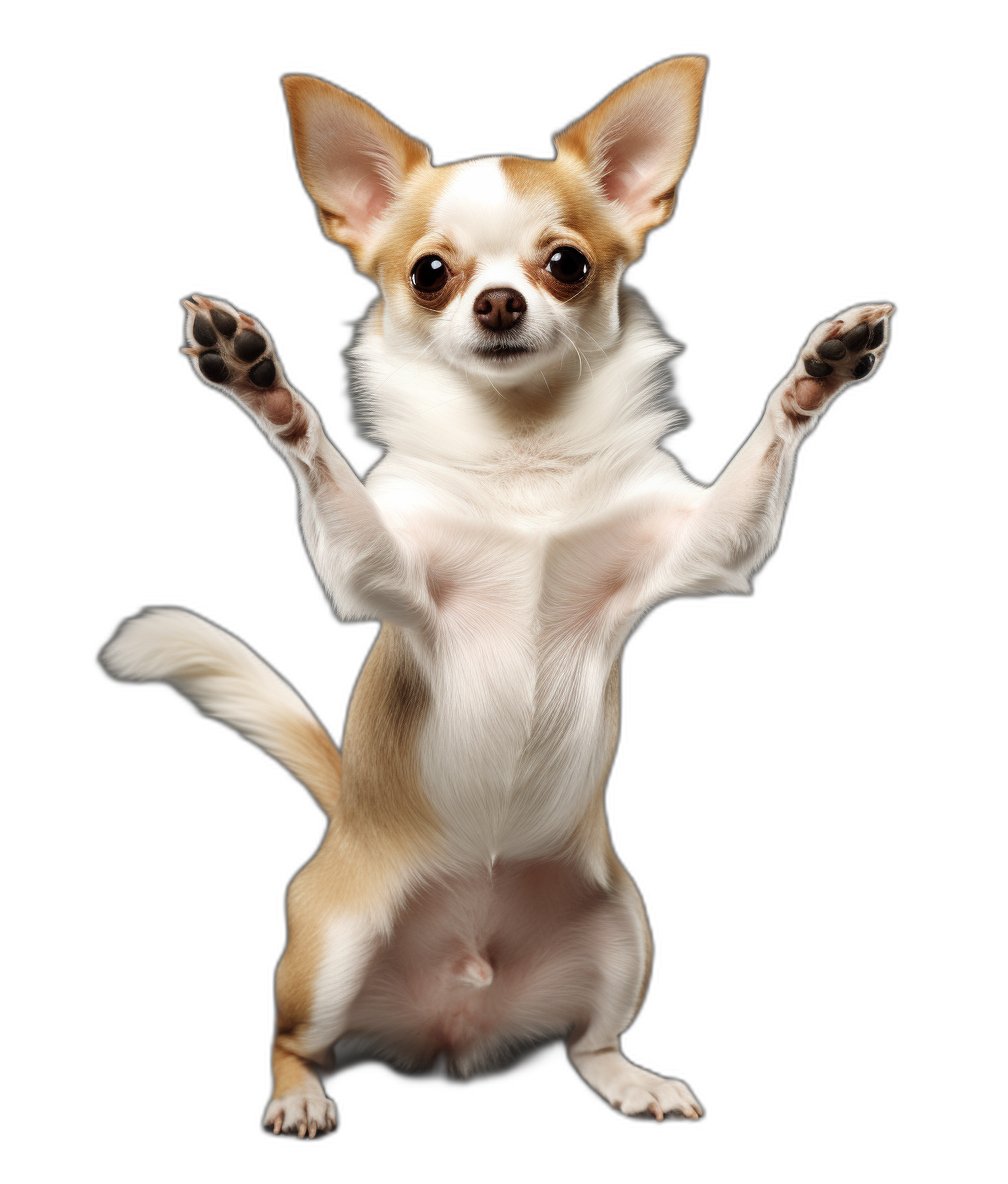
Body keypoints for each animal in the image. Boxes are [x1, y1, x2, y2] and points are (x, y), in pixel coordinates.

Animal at [100, 57, 890, 1136]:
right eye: (431, 274)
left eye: (566, 264)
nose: (502, 304)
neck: (524, 456)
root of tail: (454, 1014)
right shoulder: (376, 572)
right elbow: (326, 473)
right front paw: (261, 381)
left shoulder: (705, 549)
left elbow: (753, 467)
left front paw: (819, 371)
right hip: (329, 950)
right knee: (291, 1042)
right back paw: (299, 1098)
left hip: (625, 931)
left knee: (589, 1040)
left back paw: (635, 1082)